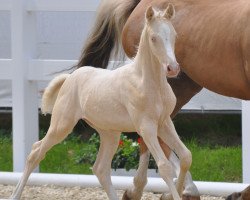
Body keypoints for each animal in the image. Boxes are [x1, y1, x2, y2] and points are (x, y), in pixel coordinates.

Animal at [8, 4, 190, 200]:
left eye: (174, 35)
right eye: (153, 38)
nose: (172, 68)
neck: (148, 83)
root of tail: (70, 78)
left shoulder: (164, 123)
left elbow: (186, 156)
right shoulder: (146, 126)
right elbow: (164, 166)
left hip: (109, 133)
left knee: (100, 169)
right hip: (62, 125)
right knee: (36, 152)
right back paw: (15, 195)